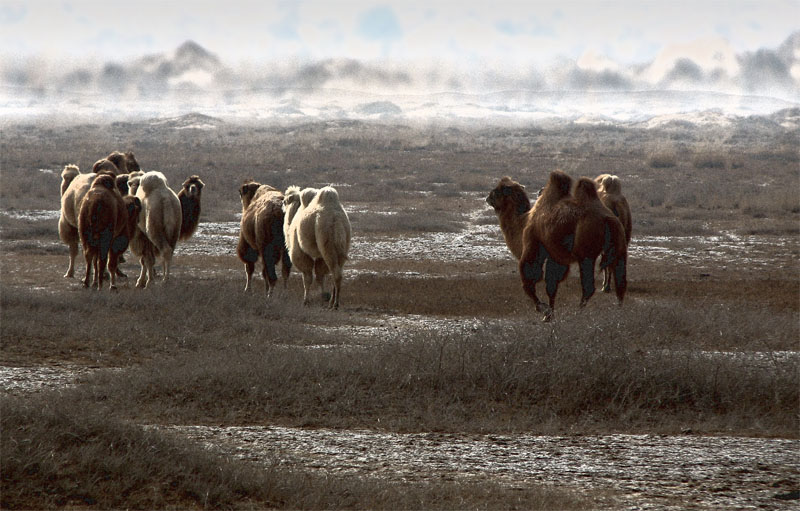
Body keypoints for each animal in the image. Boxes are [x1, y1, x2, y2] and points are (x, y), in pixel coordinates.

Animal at [484, 174, 628, 322]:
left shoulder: (533, 245)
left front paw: (543, 309)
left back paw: (579, 313)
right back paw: (619, 312)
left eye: (497, 191)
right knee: (620, 281)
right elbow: (551, 285)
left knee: (589, 287)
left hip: (586, 254)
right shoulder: (555, 256)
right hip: (619, 247)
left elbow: (530, 281)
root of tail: (608, 219)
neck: (523, 222)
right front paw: (549, 315)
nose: (488, 197)